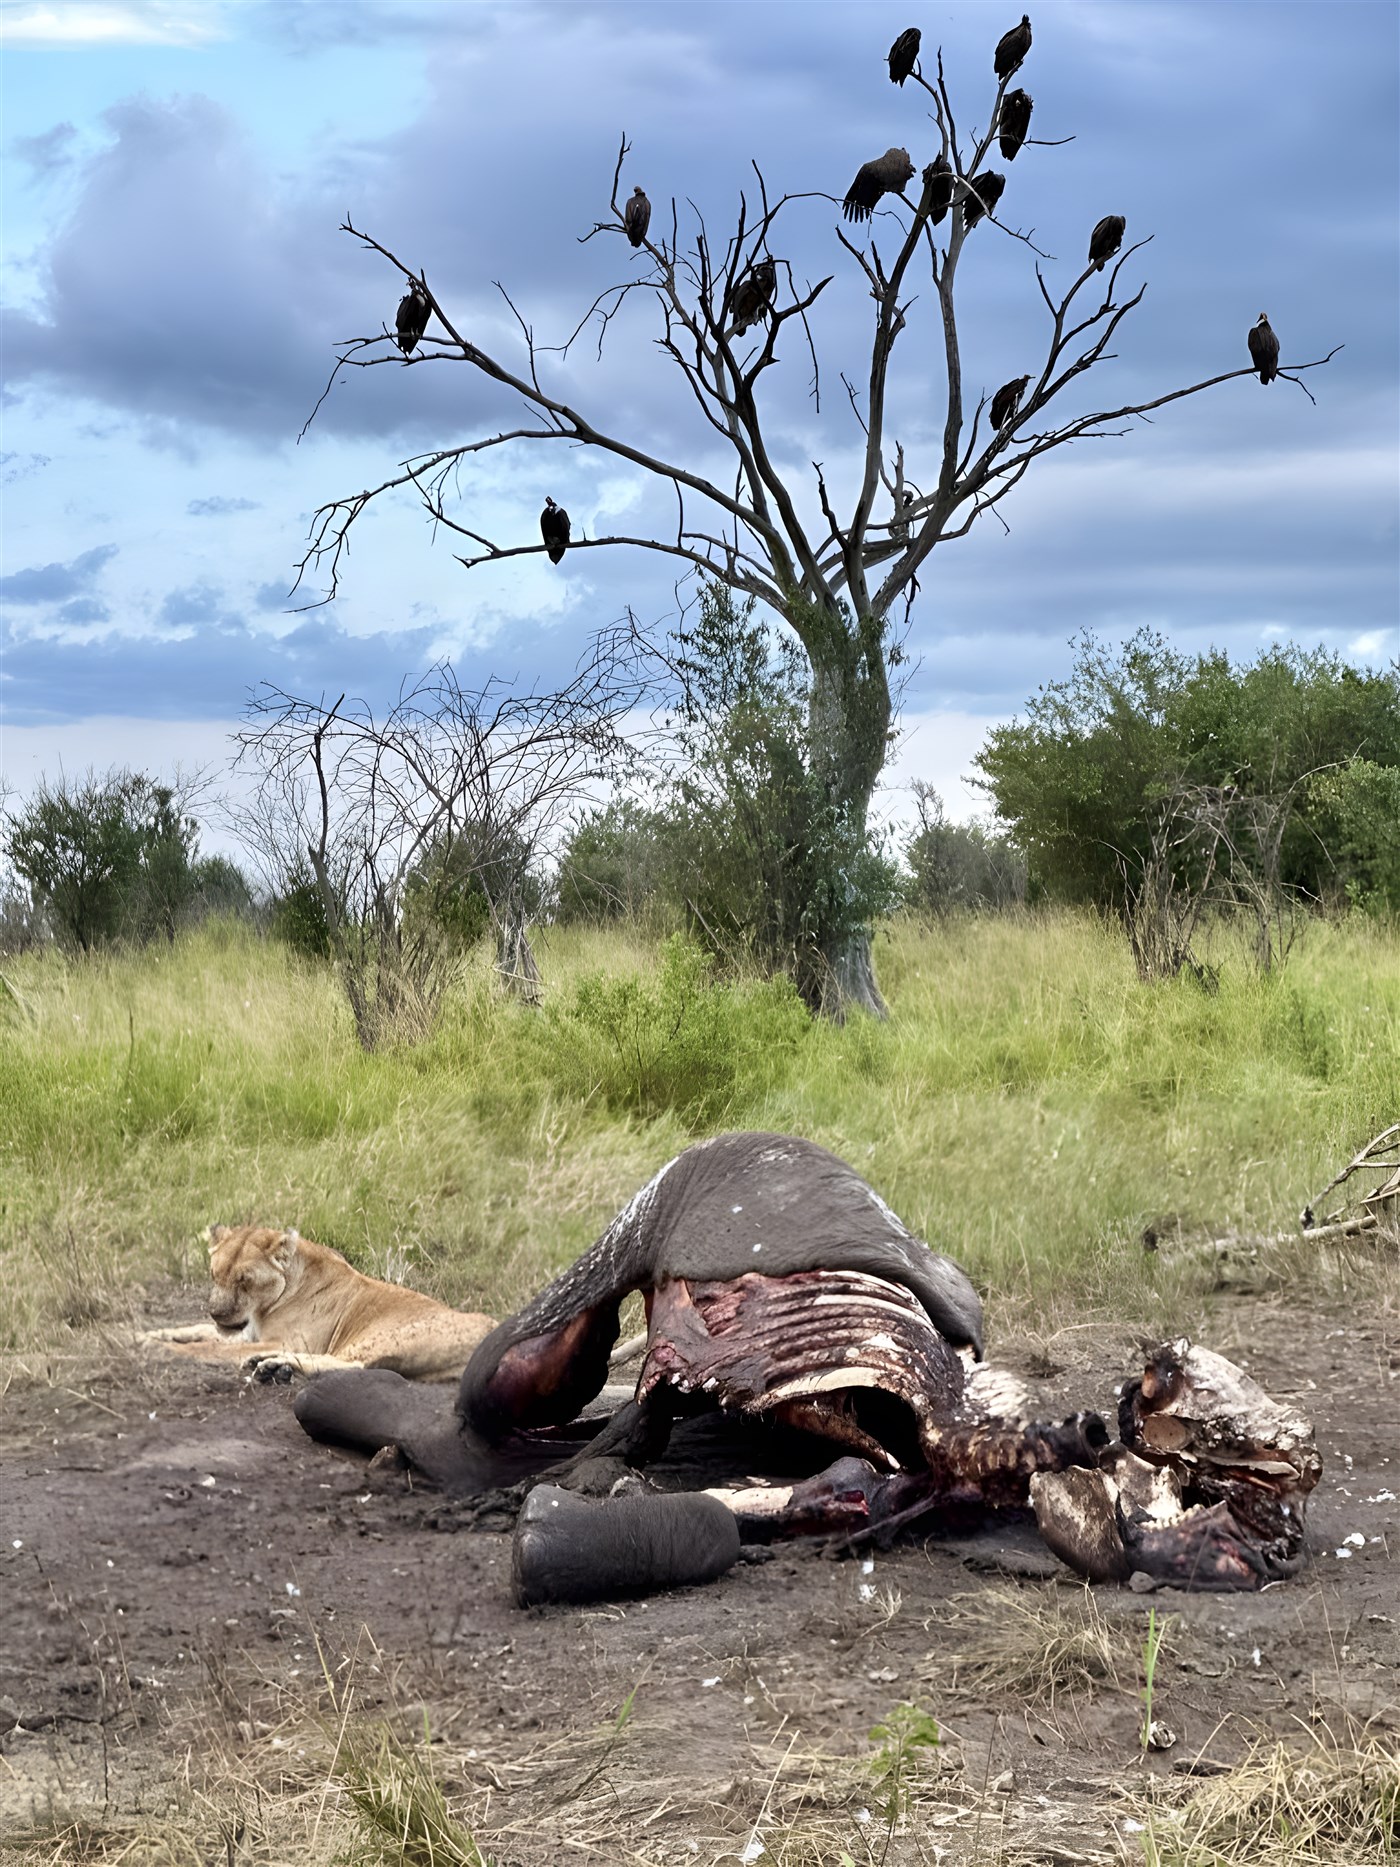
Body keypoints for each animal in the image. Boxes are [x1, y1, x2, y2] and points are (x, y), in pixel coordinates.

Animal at [142, 1224, 496, 1382]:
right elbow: (193, 1329)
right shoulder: (249, 1332)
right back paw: (269, 1364)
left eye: (244, 1280)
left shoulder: (284, 1338)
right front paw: (145, 1336)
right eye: (215, 1274)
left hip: (388, 1337)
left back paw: (269, 1365)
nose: (217, 1312)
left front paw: (160, 1350)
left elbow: (209, 1348)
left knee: (354, 1366)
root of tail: (494, 1324)